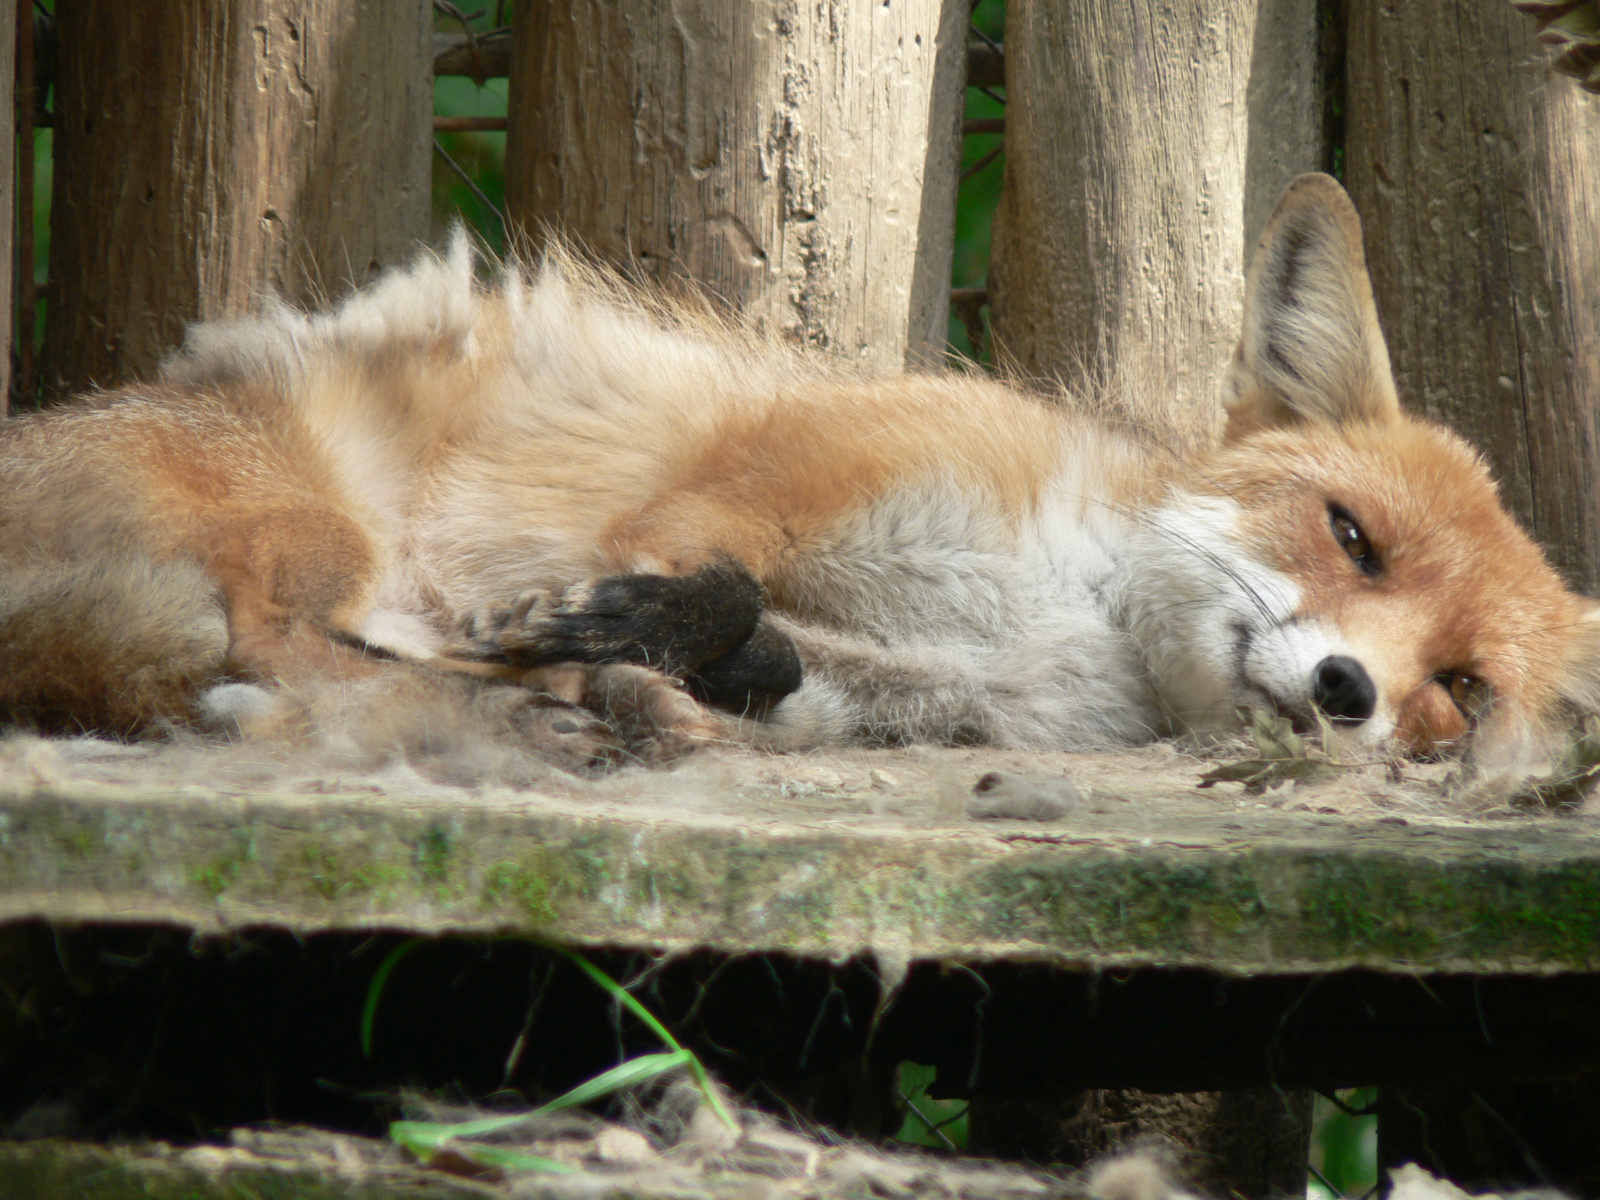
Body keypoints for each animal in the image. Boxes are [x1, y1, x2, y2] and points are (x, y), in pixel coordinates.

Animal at [0, 173, 1593, 784]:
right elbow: (705, 580)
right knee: (275, 650)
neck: (1062, 614)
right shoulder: (767, 480)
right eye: (1353, 536)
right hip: (314, 529)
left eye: (1461, 691)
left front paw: (653, 685)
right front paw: (610, 645)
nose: (1351, 690)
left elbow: (760, 663)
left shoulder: (907, 692)